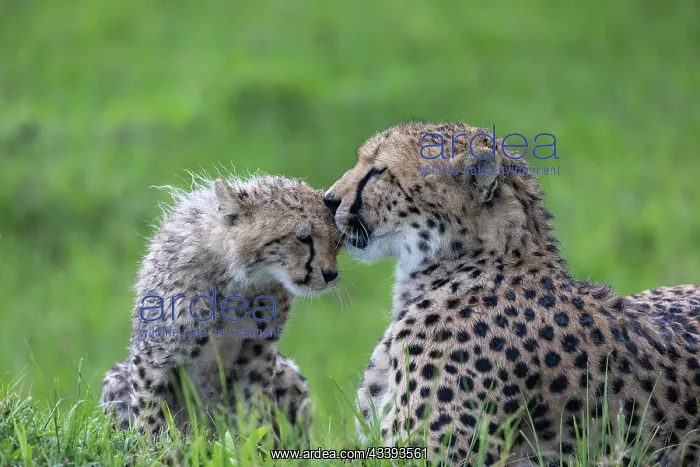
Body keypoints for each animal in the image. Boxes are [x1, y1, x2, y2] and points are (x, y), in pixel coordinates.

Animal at [99, 174, 341, 441]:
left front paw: (252, 446)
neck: (239, 279)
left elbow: (253, 410)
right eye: (303, 238)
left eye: (337, 242)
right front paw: (153, 446)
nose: (330, 275)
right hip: (116, 380)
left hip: (289, 375)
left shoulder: (257, 351)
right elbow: (150, 411)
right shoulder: (155, 353)